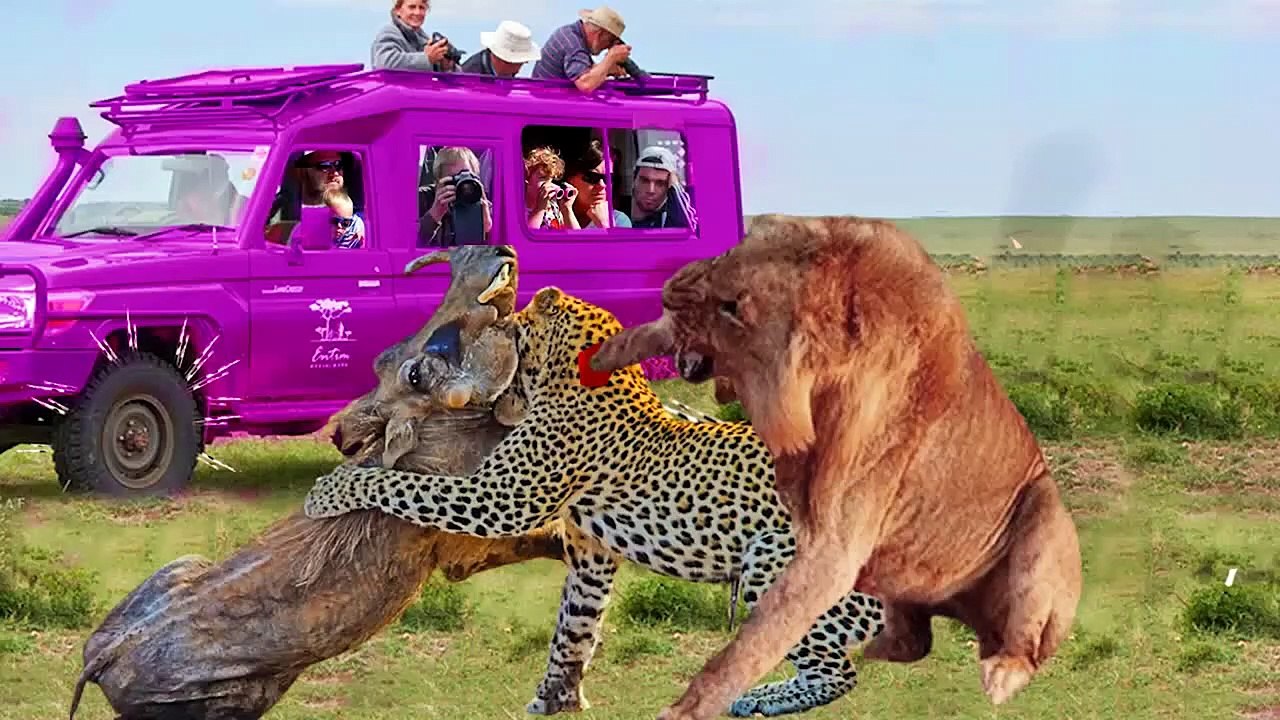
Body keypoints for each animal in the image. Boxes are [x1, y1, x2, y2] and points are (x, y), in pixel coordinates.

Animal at [304, 286, 888, 718]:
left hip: (773, 559)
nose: (498, 325)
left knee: (838, 671)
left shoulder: (500, 497)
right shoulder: (591, 552)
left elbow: (408, 487)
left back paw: (761, 698)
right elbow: (575, 625)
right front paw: (552, 698)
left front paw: (329, 489)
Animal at [589, 214, 1084, 719]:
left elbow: (753, 642)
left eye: (733, 307)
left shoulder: (834, 549)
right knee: (915, 639)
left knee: (1023, 641)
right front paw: (595, 355)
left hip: (1045, 515)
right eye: (729, 252)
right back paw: (879, 647)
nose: (668, 290)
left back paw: (1002, 675)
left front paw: (685, 711)